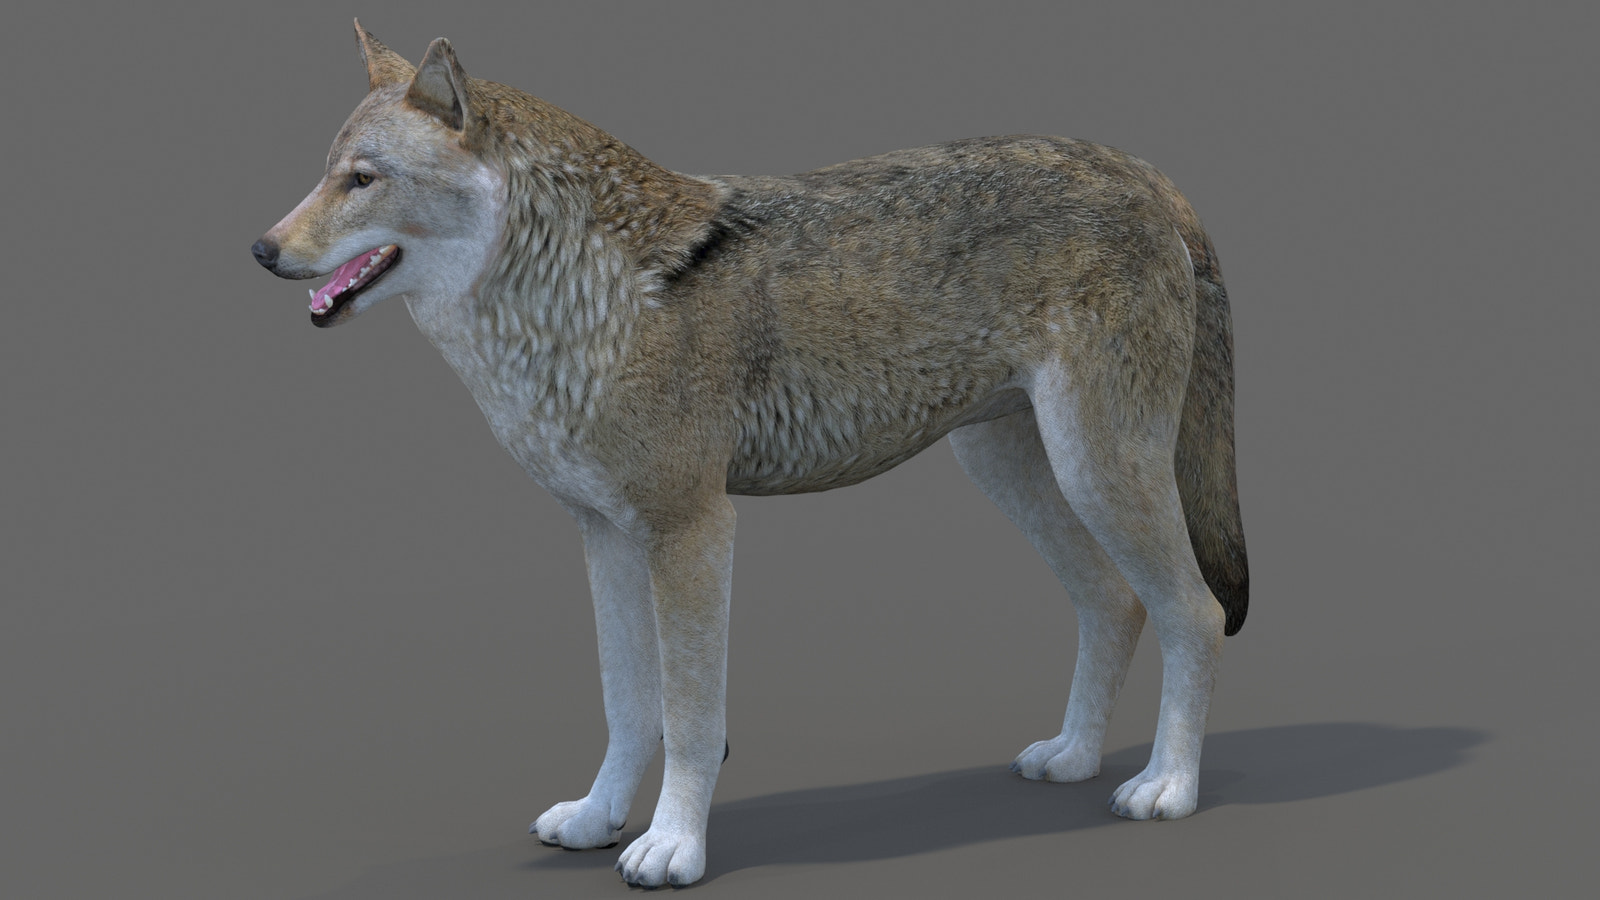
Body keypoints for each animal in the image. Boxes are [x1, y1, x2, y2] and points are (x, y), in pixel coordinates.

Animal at [252, 22, 1248, 888]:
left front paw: (671, 847)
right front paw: (598, 818)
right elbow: (627, 704)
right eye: (327, 173)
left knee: (1194, 611)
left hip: (1098, 472)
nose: (261, 250)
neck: (575, 305)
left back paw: (1167, 788)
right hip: (1013, 473)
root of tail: (1141, 171)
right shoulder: (605, 536)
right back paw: (1072, 757)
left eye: (363, 179)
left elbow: (690, 719)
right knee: (1115, 602)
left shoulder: (692, 529)